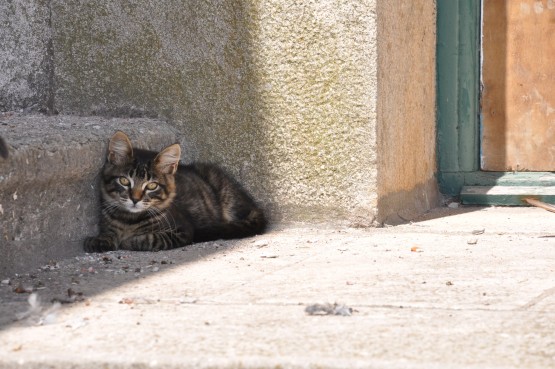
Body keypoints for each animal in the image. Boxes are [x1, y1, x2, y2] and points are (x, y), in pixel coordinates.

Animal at [84, 131, 268, 252]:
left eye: (152, 186)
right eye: (124, 181)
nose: (135, 199)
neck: (129, 219)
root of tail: (252, 205)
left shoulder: (183, 230)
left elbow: (152, 239)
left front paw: (129, 241)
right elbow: (108, 232)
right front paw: (99, 240)